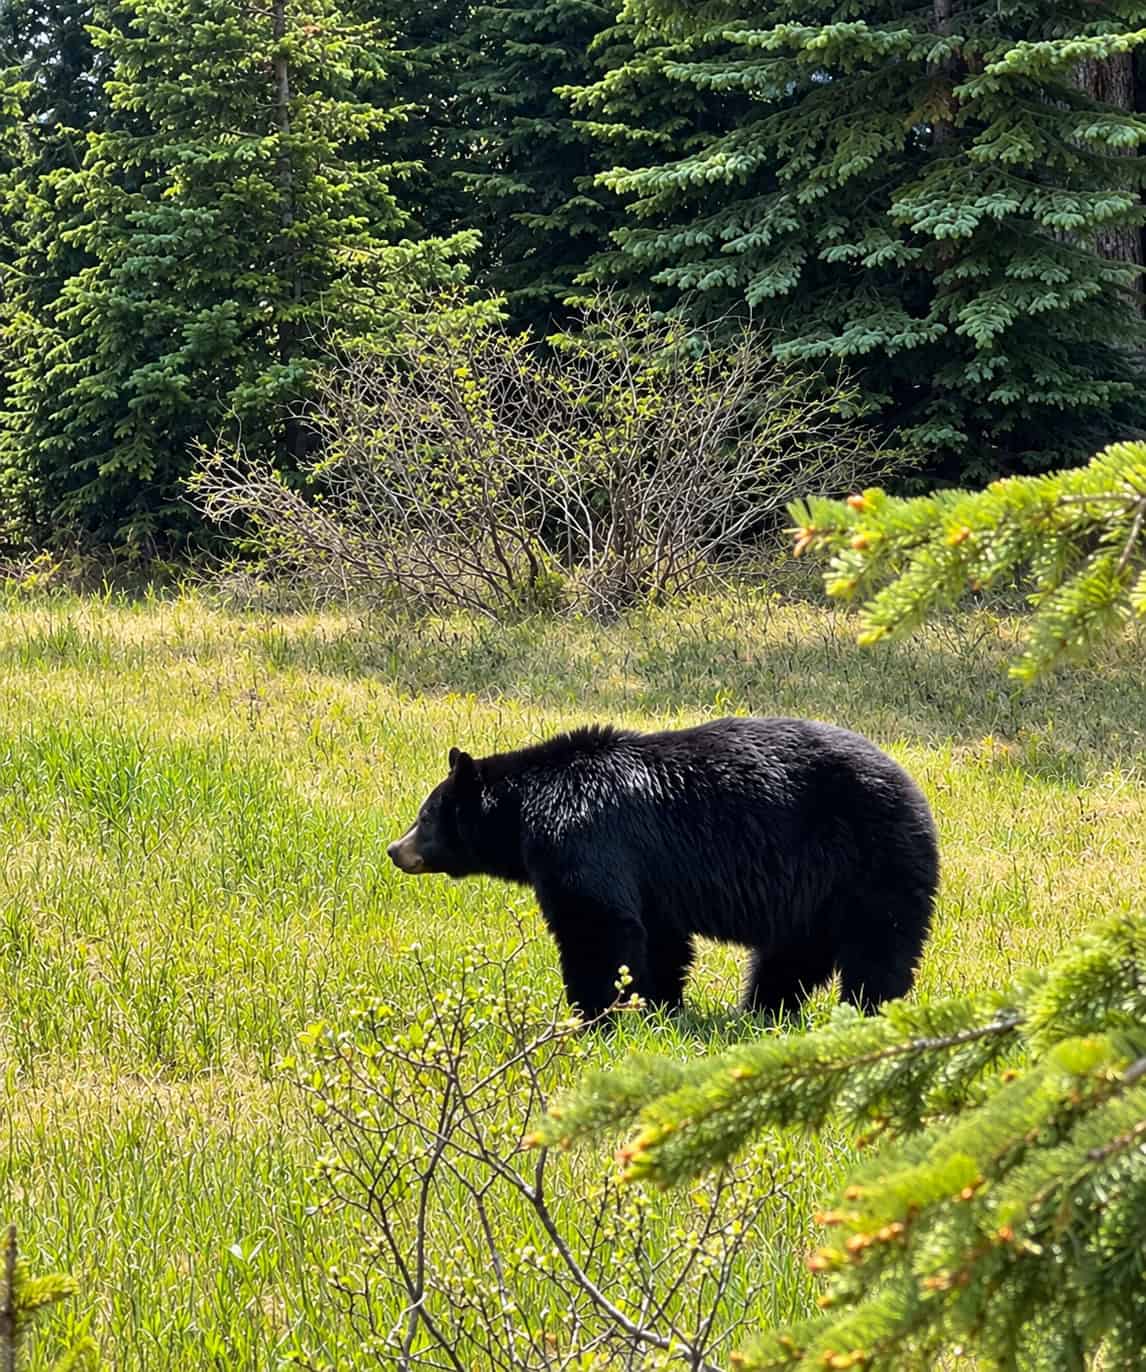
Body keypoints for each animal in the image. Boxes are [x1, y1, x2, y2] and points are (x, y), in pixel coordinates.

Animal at [387, 717, 938, 1020]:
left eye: (425, 815)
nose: (395, 849)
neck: (526, 809)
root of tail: (916, 793)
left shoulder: (584, 837)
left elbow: (596, 925)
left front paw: (595, 1016)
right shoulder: (649, 874)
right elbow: (659, 938)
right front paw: (663, 1008)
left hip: (871, 862)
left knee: (878, 949)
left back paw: (866, 1011)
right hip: (817, 890)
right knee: (791, 956)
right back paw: (761, 1011)